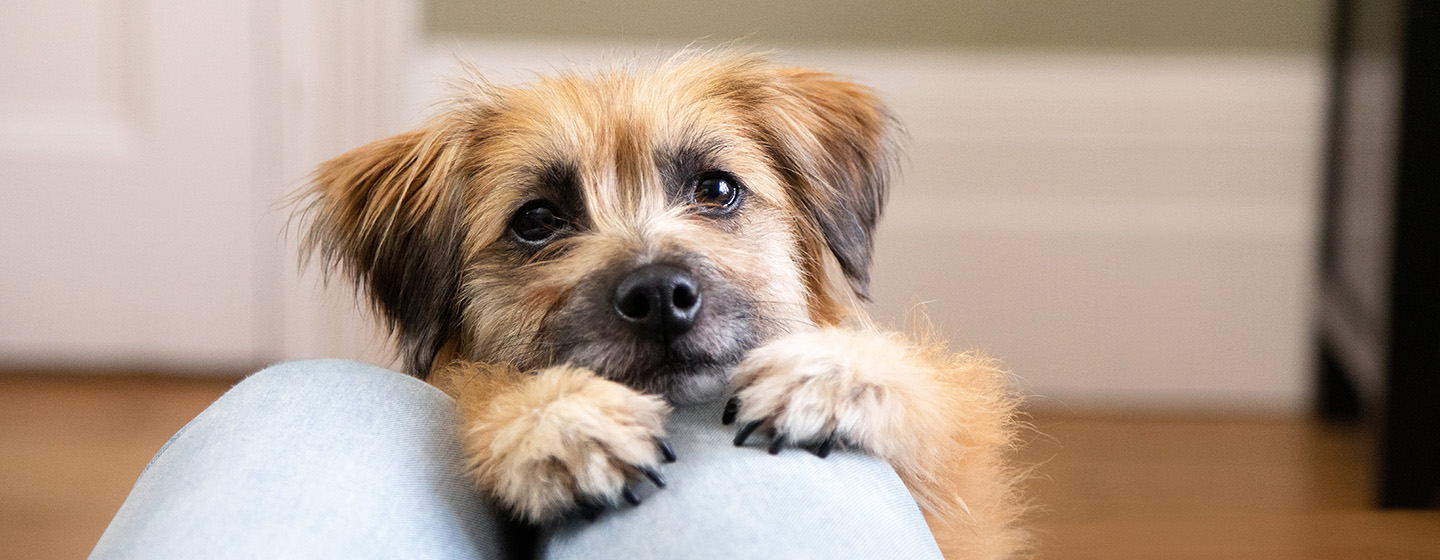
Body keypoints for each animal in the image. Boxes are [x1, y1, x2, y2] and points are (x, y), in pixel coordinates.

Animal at [300, 50, 1025, 555]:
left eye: (717, 189)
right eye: (536, 221)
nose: (658, 296)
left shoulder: (963, 474)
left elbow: (938, 398)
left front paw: (832, 373)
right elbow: (480, 382)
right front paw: (557, 418)